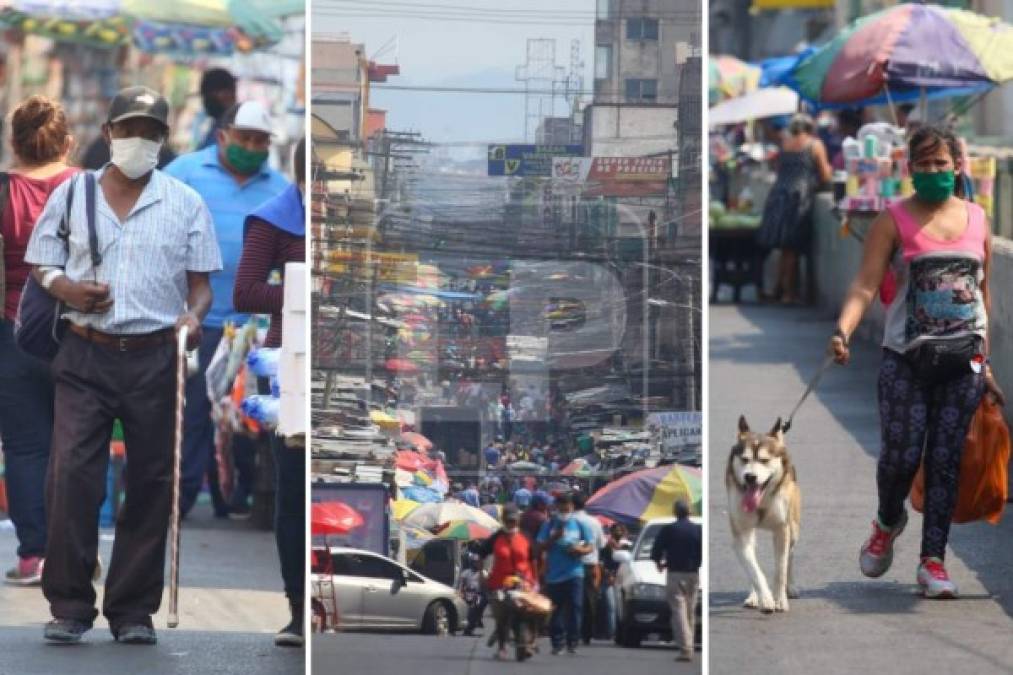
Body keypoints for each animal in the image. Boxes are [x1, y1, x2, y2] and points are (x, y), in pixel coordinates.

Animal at [725, 413, 802, 612]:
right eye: (745, 459)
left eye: (764, 461)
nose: (750, 477)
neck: (761, 502)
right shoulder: (740, 532)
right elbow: (753, 570)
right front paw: (766, 598)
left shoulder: (782, 530)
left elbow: (781, 568)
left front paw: (780, 598)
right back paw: (753, 596)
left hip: (793, 527)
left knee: (790, 556)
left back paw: (791, 587)